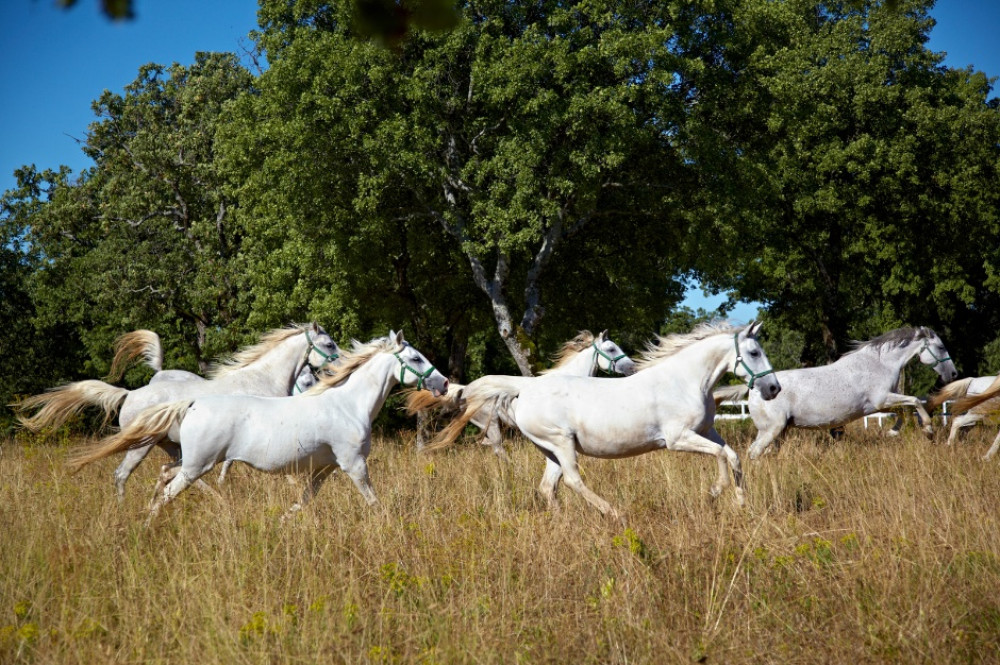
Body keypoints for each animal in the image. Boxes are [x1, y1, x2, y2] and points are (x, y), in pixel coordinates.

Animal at [18, 322, 340, 498]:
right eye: (328, 343)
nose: (338, 369)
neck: (262, 380)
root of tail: (128, 395)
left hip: (171, 446)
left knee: (171, 473)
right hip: (141, 446)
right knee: (122, 475)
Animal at [68, 330, 444, 520]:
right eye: (415, 358)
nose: (442, 383)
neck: (348, 406)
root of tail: (192, 404)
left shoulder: (325, 468)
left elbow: (304, 500)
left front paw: (285, 521)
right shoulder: (354, 464)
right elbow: (373, 500)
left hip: (184, 457)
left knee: (164, 477)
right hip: (190, 462)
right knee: (159, 485)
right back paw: (148, 522)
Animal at [728, 326, 960, 460]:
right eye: (941, 347)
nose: (953, 373)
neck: (879, 364)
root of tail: (755, 388)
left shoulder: (882, 403)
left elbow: (905, 409)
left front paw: (893, 432)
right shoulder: (882, 400)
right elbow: (914, 402)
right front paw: (928, 430)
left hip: (779, 432)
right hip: (771, 429)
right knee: (753, 452)